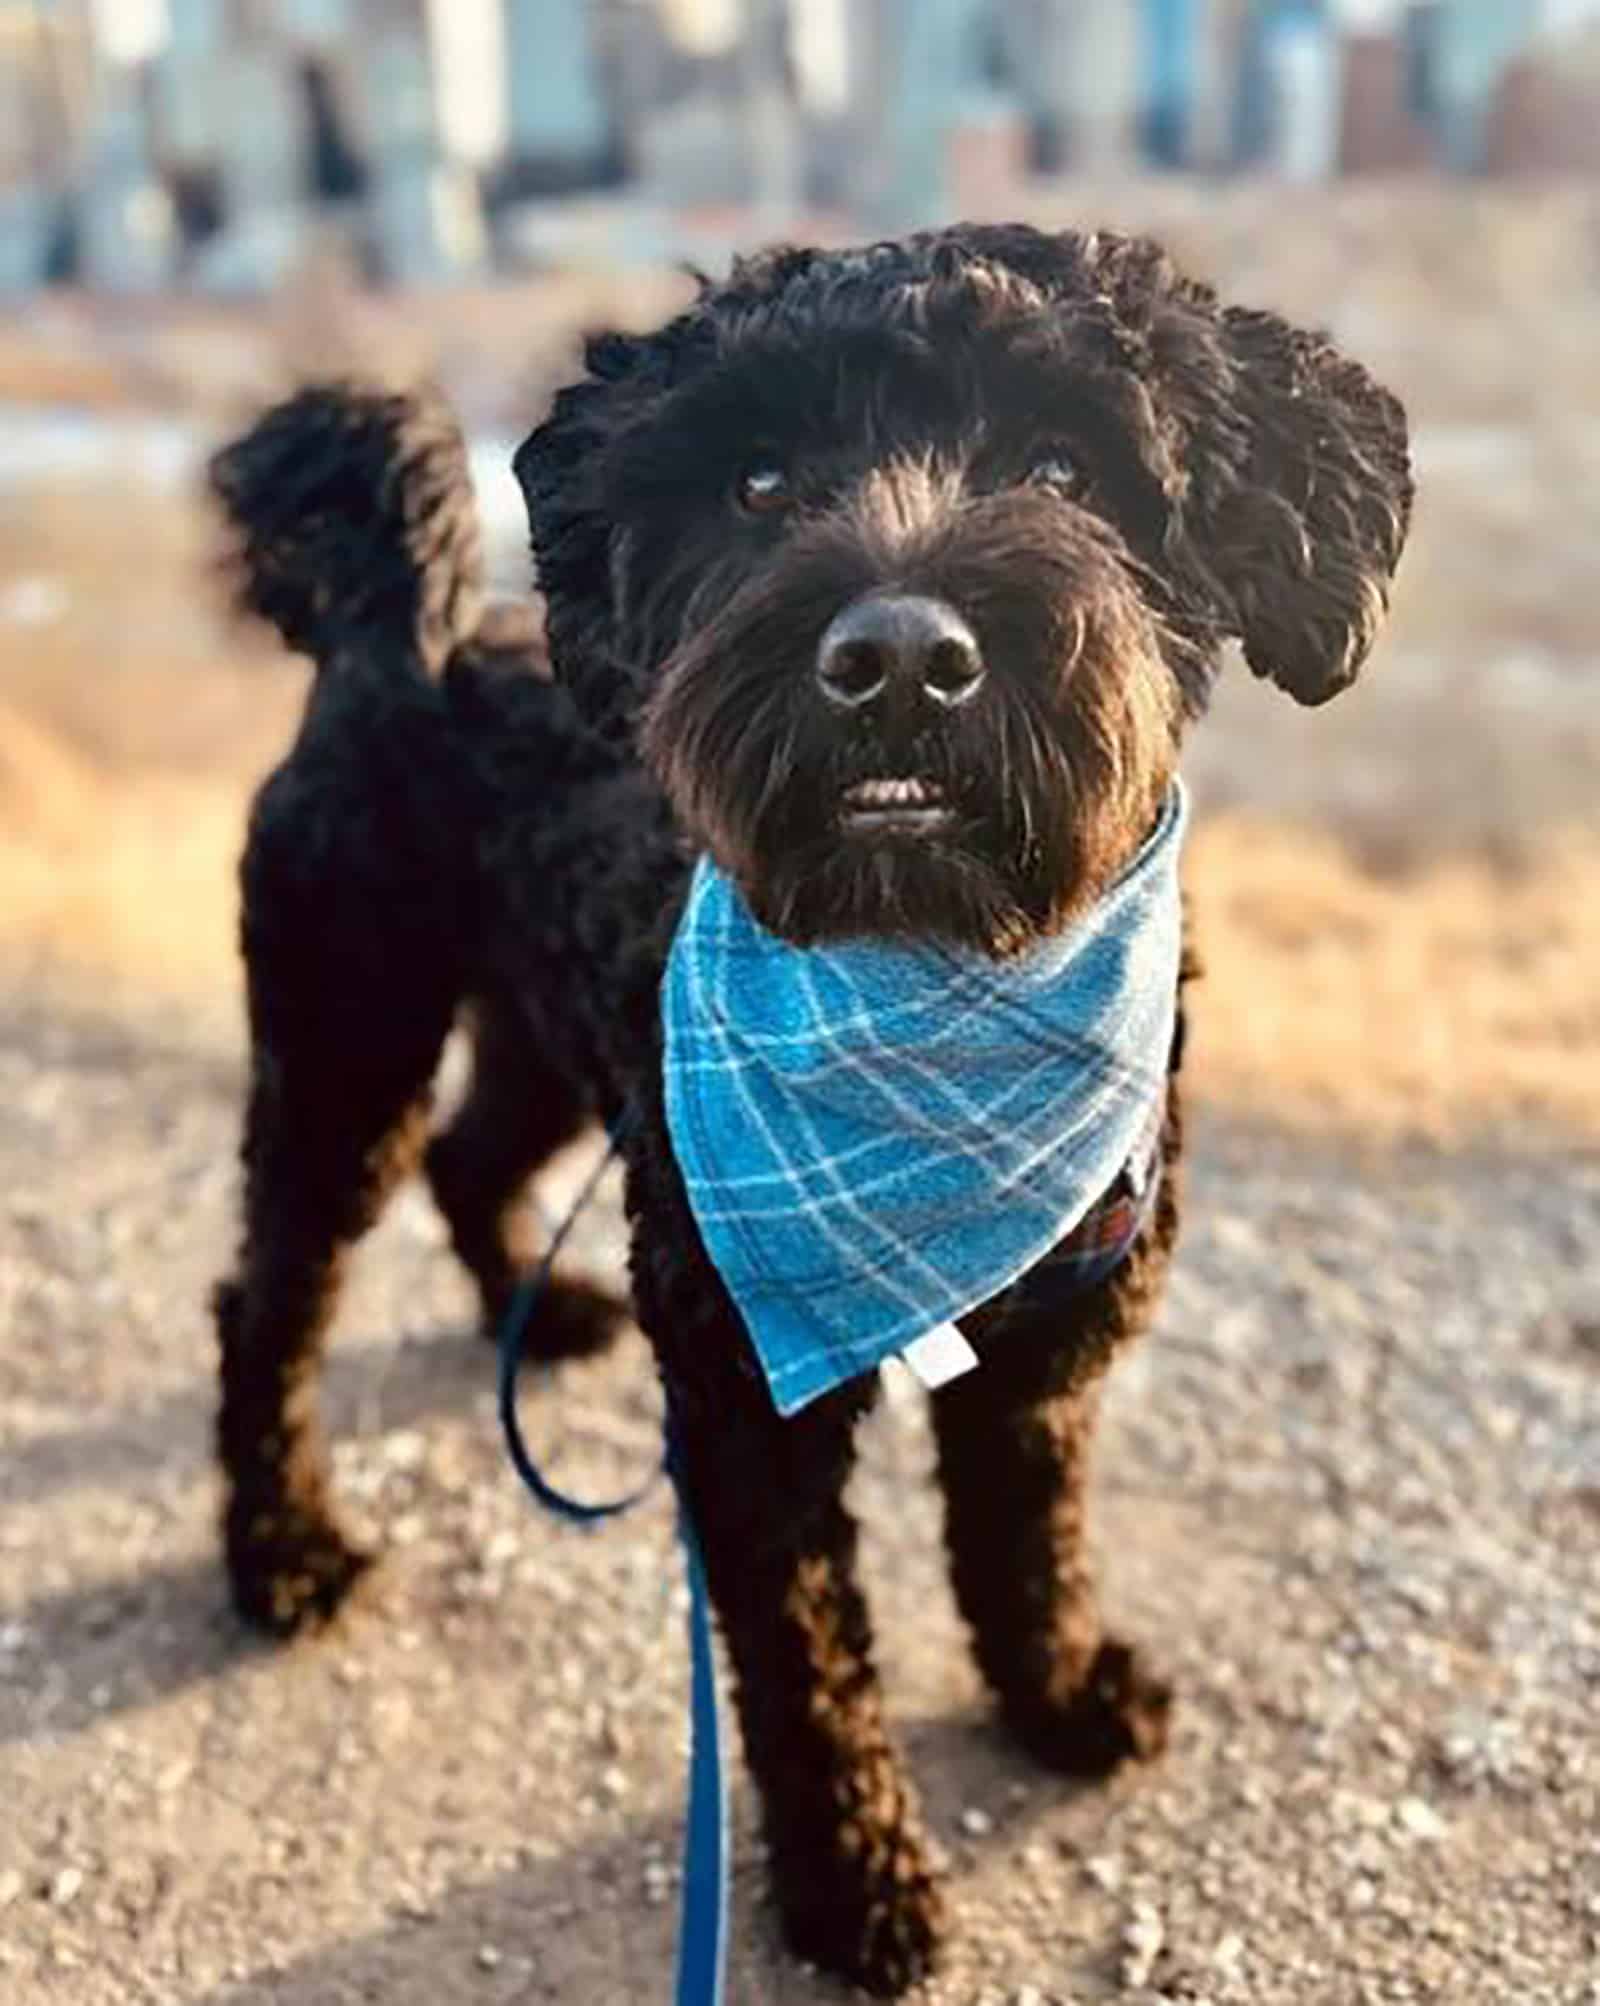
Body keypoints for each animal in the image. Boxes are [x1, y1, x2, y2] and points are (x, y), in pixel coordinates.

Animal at [209, 227, 1419, 1997]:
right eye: (761, 481)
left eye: (1069, 469)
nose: (898, 657)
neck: (930, 984)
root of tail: (389, 627)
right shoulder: (745, 1412)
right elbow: (800, 1665)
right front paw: (857, 1883)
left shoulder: (1045, 1362)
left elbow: (1028, 1542)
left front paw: (1057, 1696)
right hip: (343, 1036)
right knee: (270, 1298)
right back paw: (280, 1546)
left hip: (549, 1037)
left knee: (473, 1157)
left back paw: (534, 1316)